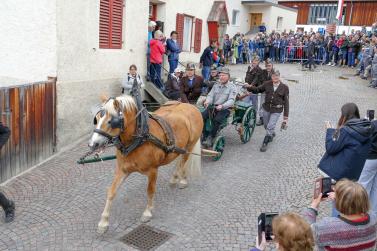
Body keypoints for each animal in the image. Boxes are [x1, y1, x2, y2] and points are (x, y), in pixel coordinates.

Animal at [87, 95, 203, 233]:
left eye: (111, 121)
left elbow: (150, 191)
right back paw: (175, 178)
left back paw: (183, 180)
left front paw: (147, 213)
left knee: (184, 162)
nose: (93, 144)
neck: (140, 137)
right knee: (180, 160)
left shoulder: (153, 170)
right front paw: (103, 222)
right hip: (179, 147)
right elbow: (111, 192)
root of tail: (191, 106)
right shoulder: (122, 170)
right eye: (97, 119)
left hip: (190, 145)